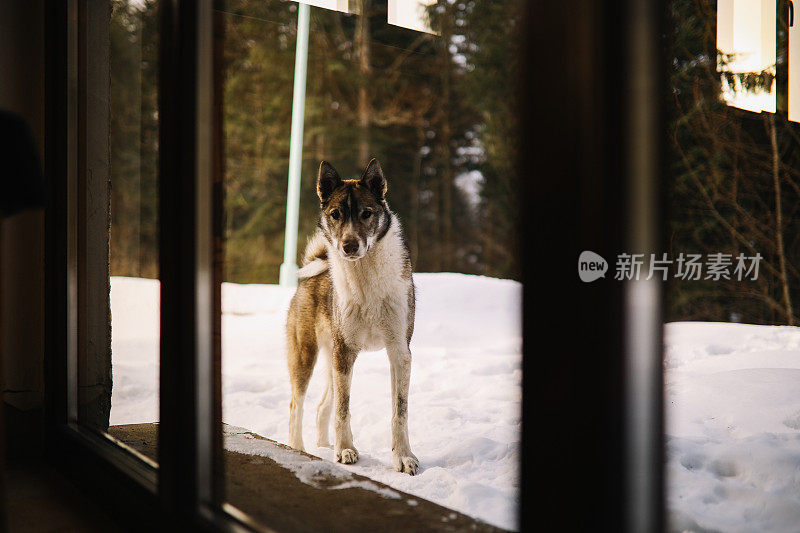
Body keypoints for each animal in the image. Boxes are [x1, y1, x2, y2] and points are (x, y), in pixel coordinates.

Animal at [284, 157, 418, 474]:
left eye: (366, 213)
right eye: (335, 214)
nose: (349, 245)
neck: (365, 278)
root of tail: (310, 274)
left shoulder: (399, 353)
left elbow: (400, 412)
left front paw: (403, 457)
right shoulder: (345, 351)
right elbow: (343, 410)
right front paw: (345, 450)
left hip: (331, 360)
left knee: (321, 406)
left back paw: (323, 446)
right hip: (307, 356)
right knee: (298, 405)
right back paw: (299, 449)